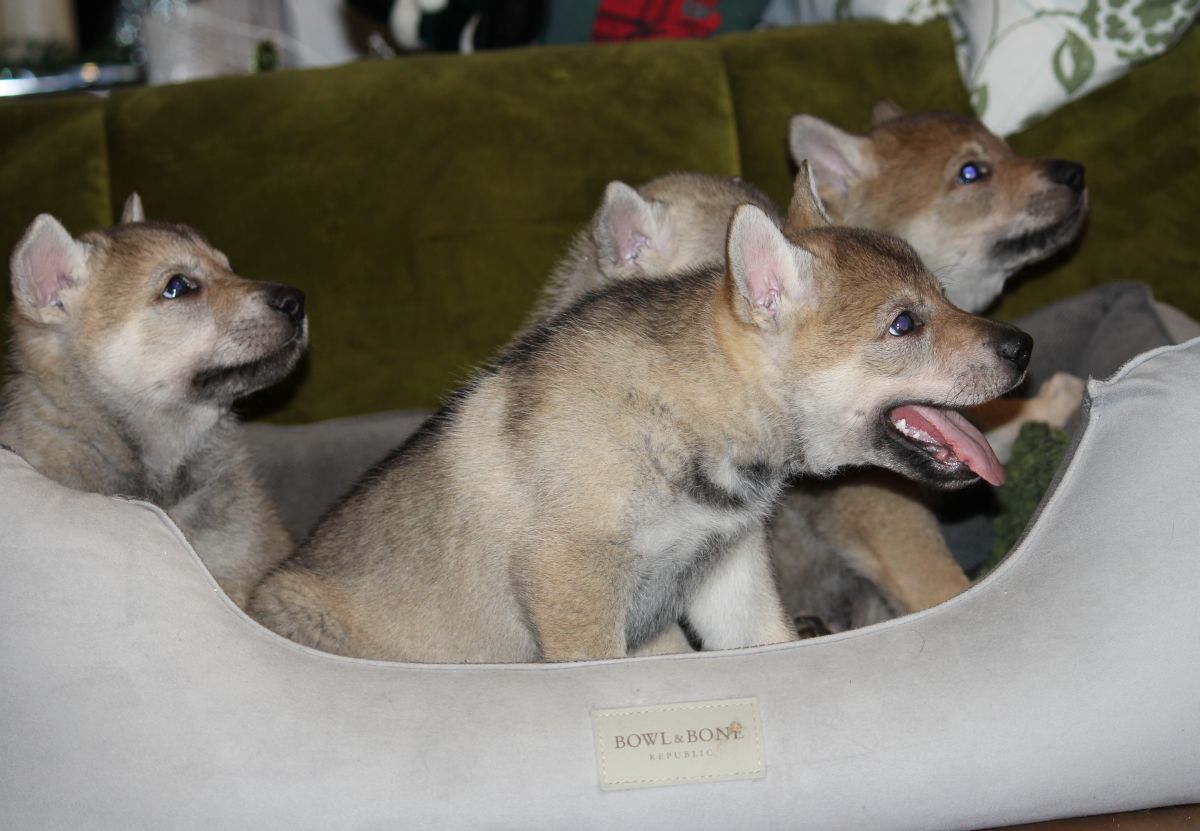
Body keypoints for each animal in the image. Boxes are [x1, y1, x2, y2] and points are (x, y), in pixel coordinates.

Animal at [248, 165, 1032, 662]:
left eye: (943, 295)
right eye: (903, 324)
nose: (1023, 347)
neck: (682, 412)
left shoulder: (728, 578)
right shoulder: (574, 587)